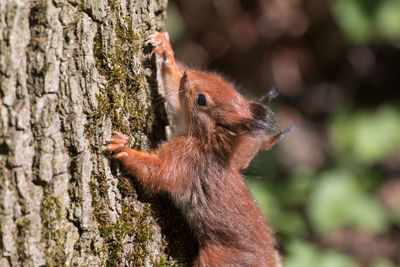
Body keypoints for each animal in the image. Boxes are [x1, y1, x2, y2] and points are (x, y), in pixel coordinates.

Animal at [106, 30, 294, 266]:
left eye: (202, 99)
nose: (187, 73)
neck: (206, 142)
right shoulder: (181, 122)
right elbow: (174, 102)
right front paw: (165, 51)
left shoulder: (188, 161)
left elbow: (160, 173)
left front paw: (122, 149)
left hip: (220, 258)